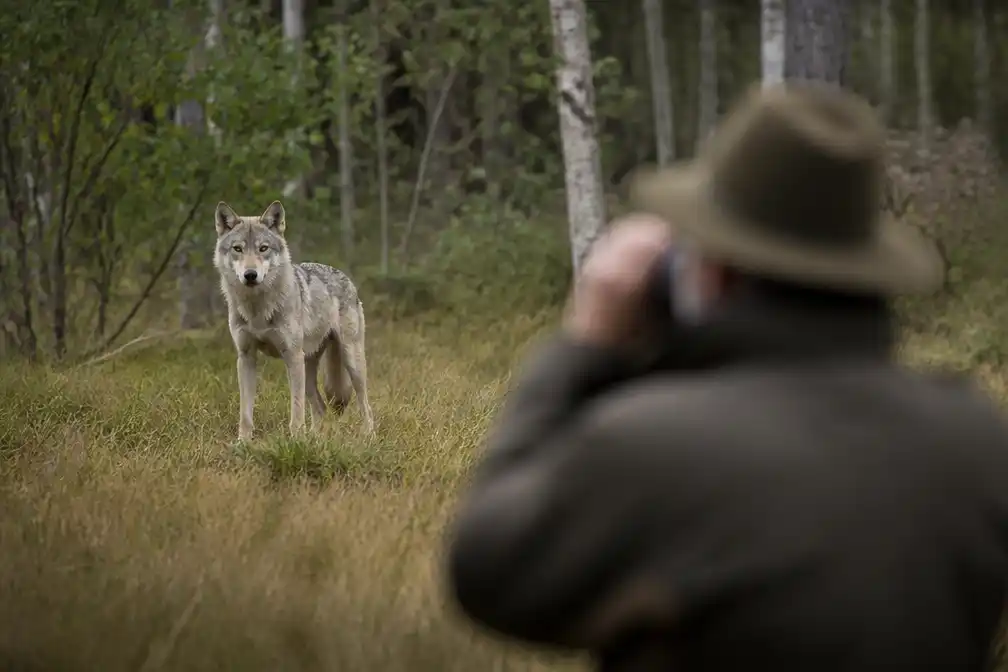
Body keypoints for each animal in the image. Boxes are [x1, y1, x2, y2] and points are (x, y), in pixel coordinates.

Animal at [213, 200, 375, 442]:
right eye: (237, 249)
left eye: (263, 248)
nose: (250, 275)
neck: (258, 309)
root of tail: (344, 276)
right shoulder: (246, 357)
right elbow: (246, 413)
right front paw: (243, 442)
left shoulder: (291, 356)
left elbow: (296, 410)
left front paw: (297, 441)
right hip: (308, 368)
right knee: (320, 408)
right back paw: (317, 439)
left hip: (350, 361)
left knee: (365, 404)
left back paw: (369, 437)